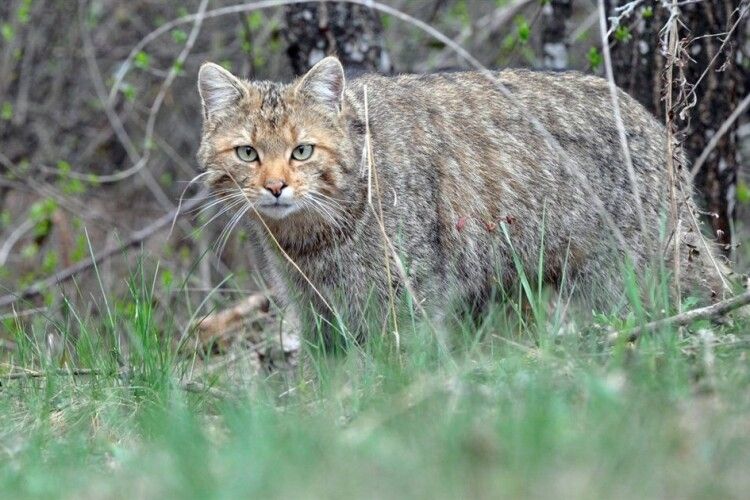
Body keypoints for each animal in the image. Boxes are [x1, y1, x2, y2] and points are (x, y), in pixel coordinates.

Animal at [197, 55, 732, 344]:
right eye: (247, 153)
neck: (311, 238)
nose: (275, 186)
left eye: (302, 151)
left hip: (630, 272)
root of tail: (654, 124)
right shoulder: (315, 310)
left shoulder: (405, 299)